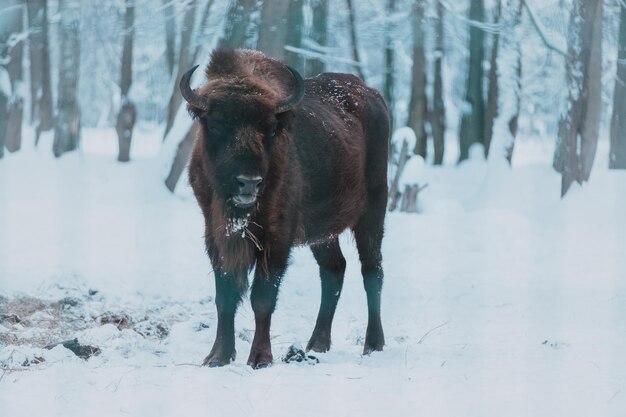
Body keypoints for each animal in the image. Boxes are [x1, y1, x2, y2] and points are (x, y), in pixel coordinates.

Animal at [178, 48, 388, 368]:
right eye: (215, 125)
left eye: (270, 128)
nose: (249, 183)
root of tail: (373, 96)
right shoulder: (216, 237)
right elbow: (225, 297)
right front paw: (218, 357)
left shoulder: (277, 239)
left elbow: (262, 298)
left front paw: (260, 358)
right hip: (323, 234)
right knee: (334, 269)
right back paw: (317, 344)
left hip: (372, 214)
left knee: (371, 272)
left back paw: (373, 345)